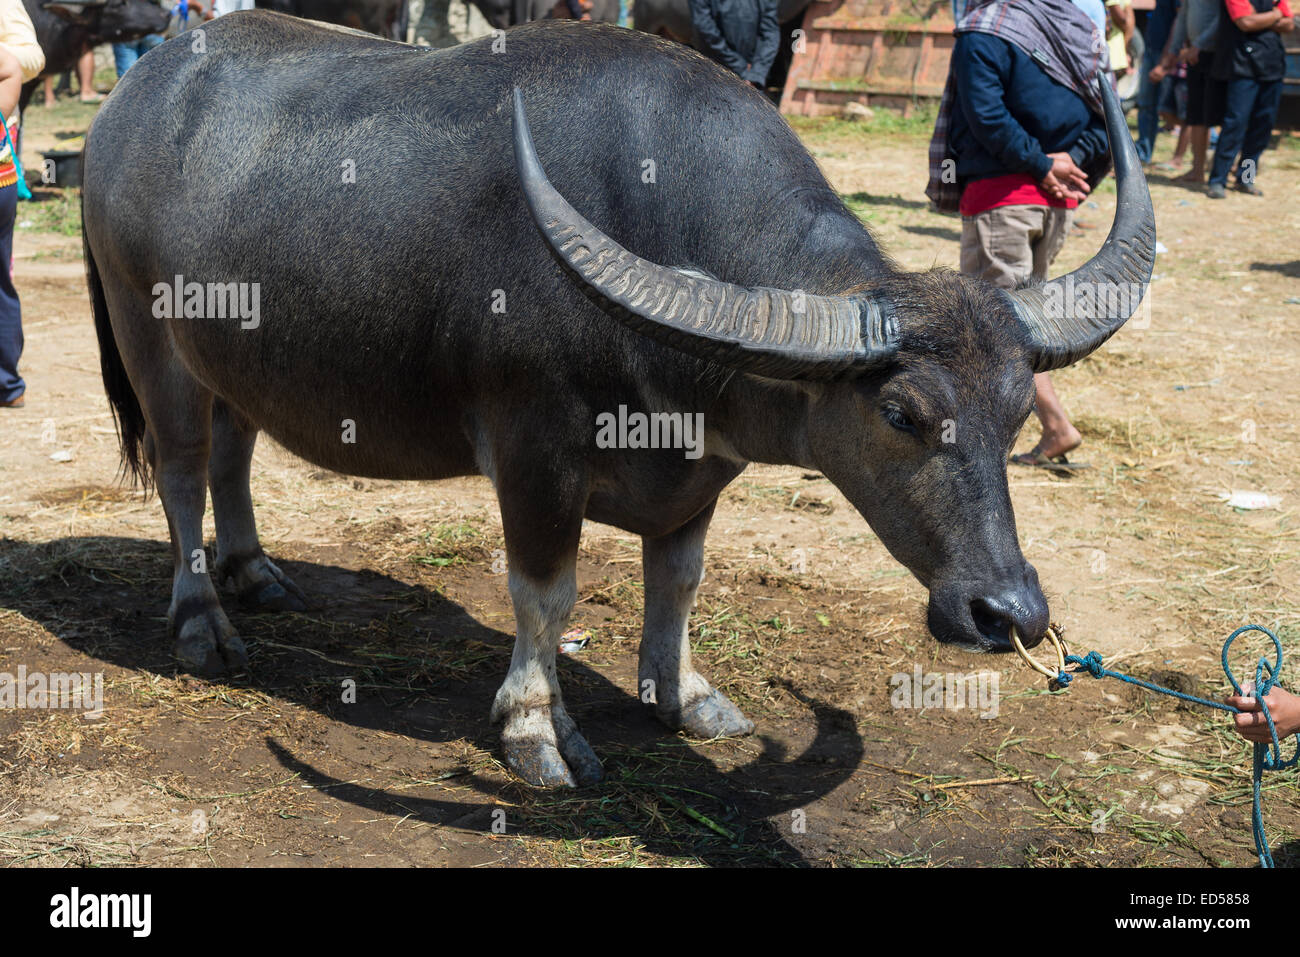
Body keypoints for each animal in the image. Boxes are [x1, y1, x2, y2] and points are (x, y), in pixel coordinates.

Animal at [83, 11, 1159, 785]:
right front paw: (535, 728)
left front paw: (685, 695)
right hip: (150, 335)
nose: (1008, 611)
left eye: (1017, 412)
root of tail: (129, 100)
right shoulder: (533, 457)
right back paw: (202, 618)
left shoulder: (696, 475)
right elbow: (545, 595)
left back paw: (255, 573)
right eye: (901, 413)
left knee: (233, 450)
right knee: (183, 470)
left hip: (230, 355)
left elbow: (676, 583)